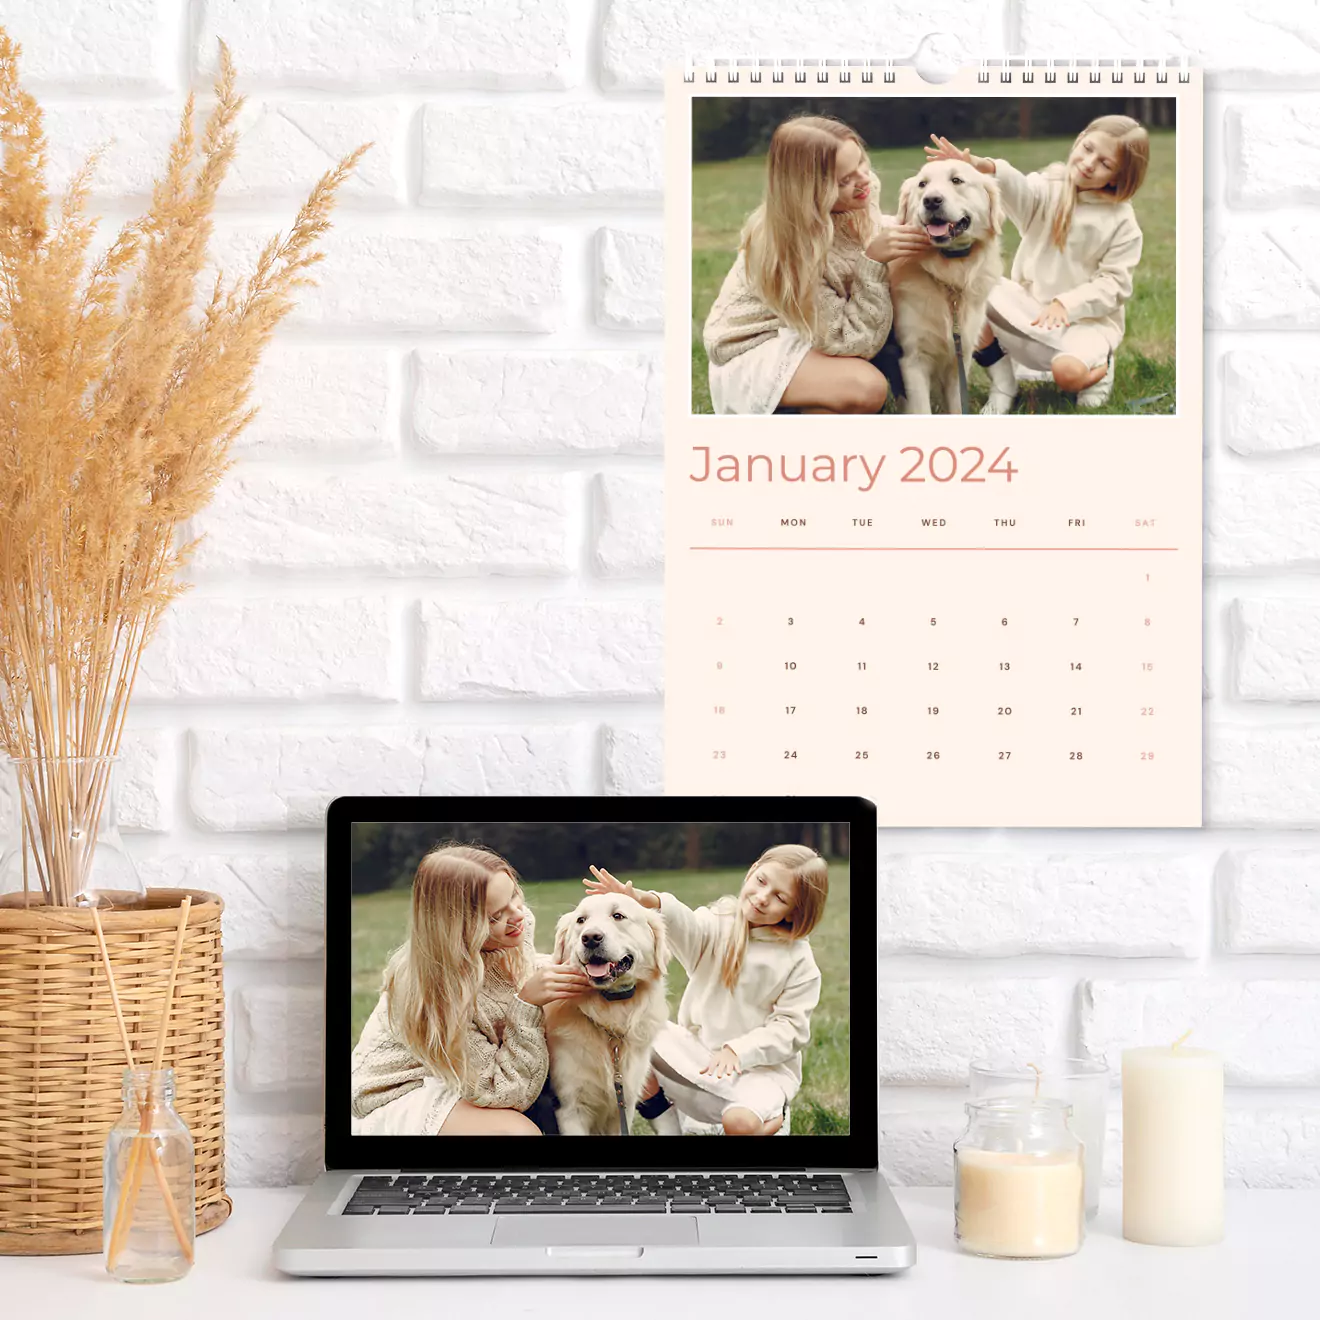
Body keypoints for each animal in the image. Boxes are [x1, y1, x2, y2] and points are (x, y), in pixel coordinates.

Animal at [892, 161, 1003, 414]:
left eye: (956, 180)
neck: (950, 271)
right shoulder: (912, 359)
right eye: (922, 184)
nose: (932, 201)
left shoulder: (959, 359)